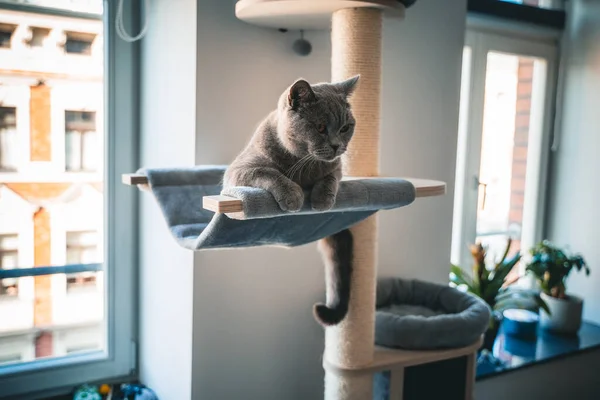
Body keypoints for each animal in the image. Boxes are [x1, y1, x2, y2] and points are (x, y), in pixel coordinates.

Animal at [223, 75, 358, 324]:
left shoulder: (337, 168)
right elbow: (268, 172)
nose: (336, 145)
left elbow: (331, 177)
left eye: (345, 128)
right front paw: (293, 196)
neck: (304, 166)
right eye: (320, 127)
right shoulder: (238, 171)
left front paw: (322, 200)